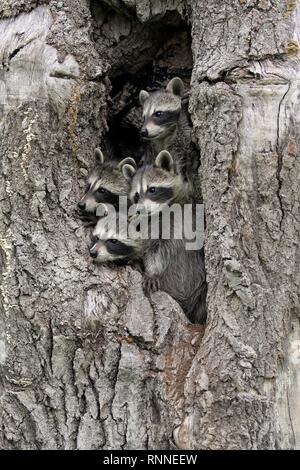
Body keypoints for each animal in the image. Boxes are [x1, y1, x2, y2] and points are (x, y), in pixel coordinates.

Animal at [122, 151, 206, 324]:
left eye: (152, 189)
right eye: (136, 196)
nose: (140, 210)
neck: (168, 209)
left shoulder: (194, 207)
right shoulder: (156, 227)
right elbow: (154, 250)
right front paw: (152, 271)